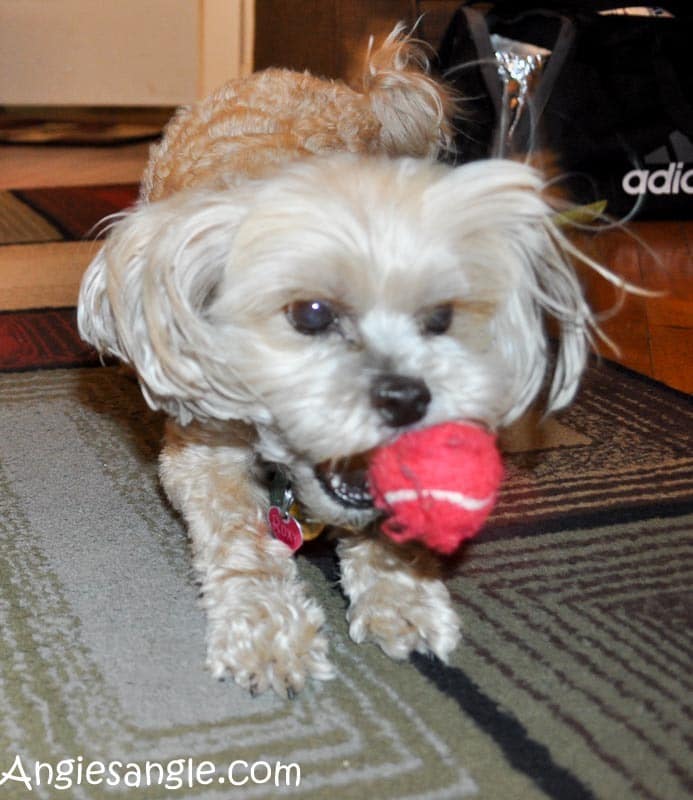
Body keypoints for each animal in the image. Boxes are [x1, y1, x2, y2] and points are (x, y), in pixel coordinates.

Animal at [77, 28, 616, 696]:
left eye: (440, 316)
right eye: (311, 314)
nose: (410, 399)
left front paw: (401, 596)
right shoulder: (202, 455)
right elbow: (239, 538)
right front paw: (266, 631)